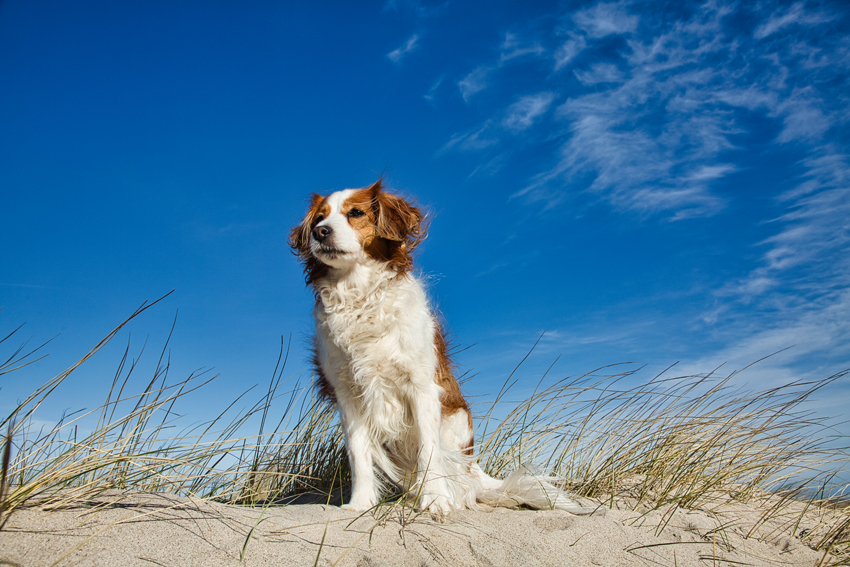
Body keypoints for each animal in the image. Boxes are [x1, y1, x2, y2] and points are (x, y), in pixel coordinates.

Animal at [288, 180, 592, 516]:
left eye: (355, 213)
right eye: (319, 218)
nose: (320, 232)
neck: (360, 296)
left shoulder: (421, 386)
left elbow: (428, 449)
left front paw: (435, 499)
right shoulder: (347, 393)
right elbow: (359, 453)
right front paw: (361, 503)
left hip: (457, 420)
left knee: (462, 480)